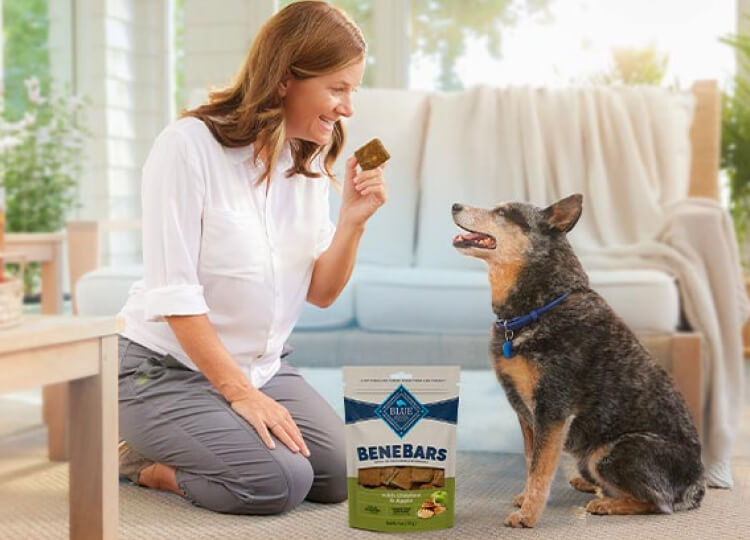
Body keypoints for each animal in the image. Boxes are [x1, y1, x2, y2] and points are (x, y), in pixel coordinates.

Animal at [452, 194, 704, 528]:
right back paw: (590, 486)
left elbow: (541, 468)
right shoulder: (525, 412)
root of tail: (698, 485)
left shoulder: (552, 408)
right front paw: (525, 499)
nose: (454, 206)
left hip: (611, 451)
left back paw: (605, 503)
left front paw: (528, 515)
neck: (540, 306)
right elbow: (530, 459)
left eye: (503, 212)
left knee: (659, 503)